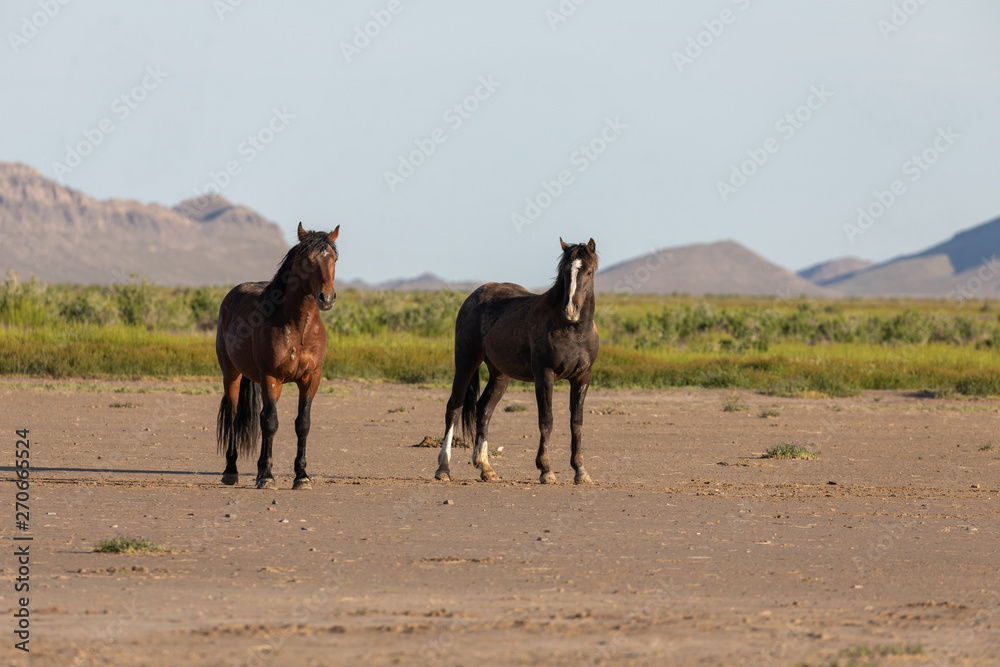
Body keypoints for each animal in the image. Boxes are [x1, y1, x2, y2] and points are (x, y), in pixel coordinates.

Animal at [215, 222, 339, 490]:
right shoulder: (271, 377)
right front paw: (267, 476)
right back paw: (231, 471)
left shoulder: (311, 379)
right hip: (232, 374)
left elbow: (302, 424)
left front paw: (301, 476)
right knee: (234, 416)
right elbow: (271, 423)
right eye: (308, 259)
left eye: (334, 258)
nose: (326, 298)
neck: (298, 327)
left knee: (261, 418)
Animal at [435, 237, 600, 485]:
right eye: (564, 271)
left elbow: (576, 423)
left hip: (500, 374)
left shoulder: (582, 377)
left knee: (484, 410)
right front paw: (546, 469)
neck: (572, 331)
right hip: (466, 362)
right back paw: (443, 468)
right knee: (454, 408)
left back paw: (486, 468)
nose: (570, 310)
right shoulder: (544, 375)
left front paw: (580, 470)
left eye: (589, 271)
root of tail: (473, 297)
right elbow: (547, 420)